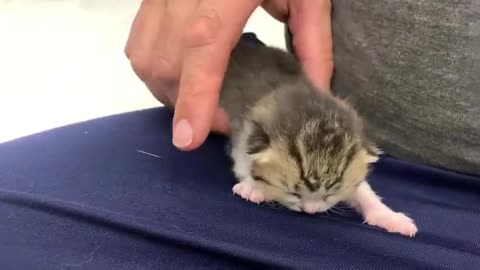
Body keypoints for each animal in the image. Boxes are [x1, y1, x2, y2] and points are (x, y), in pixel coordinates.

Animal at [218, 37, 416, 236]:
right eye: (294, 193)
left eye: (330, 195)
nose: (310, 211)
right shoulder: (245, 133)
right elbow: (243, 163)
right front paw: (253, 186)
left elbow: (363, 190)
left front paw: (389, 217)